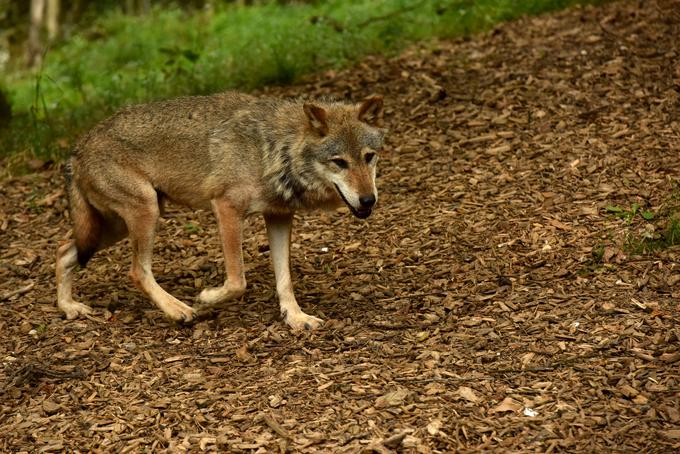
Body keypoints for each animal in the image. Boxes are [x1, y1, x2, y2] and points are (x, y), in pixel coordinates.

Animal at [55, 91, 386, 330]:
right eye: (339, 162)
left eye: (369, 157)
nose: (368, 200)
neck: (273, 149)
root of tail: (77, 149)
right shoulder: (226, 209)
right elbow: (238, 281)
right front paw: (206, 298)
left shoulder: (279, 217)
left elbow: (284, 279)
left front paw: (295, 317)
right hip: (144, 214)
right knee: (136, 271)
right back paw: (178, 310)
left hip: (116, 227)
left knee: (63, 252)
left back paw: (69, 308)